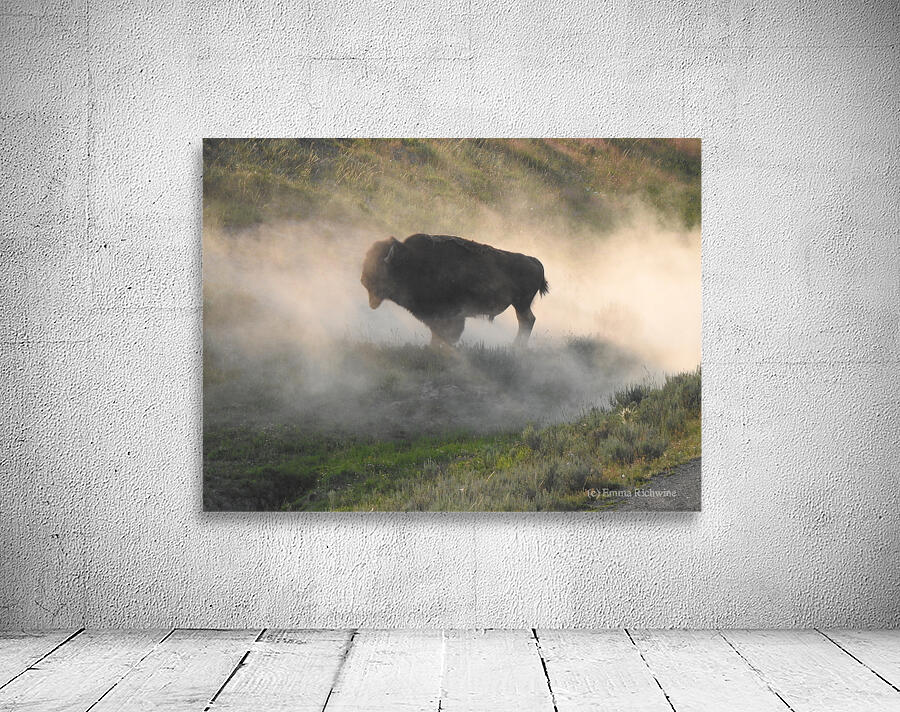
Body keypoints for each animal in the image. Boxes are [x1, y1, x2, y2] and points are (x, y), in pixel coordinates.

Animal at [361, 233, 549, 347]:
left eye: (379, 268)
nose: (363, 280)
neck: (413, 261)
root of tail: (534, 261)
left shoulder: (449, 314)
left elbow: (447, 333)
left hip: (521, 304)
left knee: (527, 321)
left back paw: (516, 346)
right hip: (520, 305)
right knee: (527, 321)